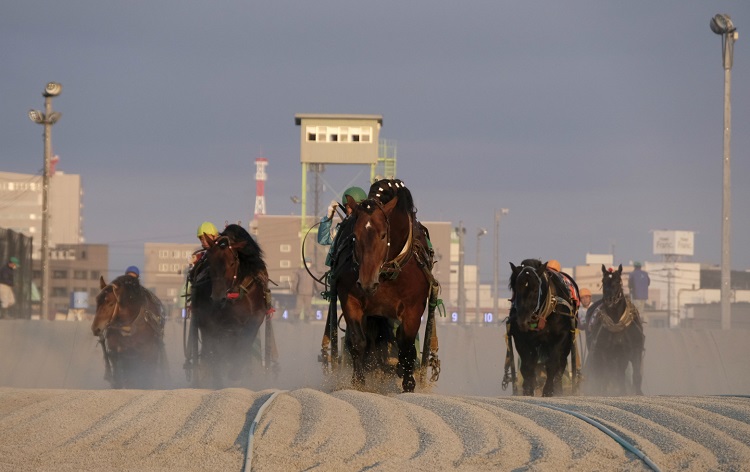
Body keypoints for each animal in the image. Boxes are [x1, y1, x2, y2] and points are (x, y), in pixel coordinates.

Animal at [186, 224, 276, 388]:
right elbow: (215, 351)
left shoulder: (255, 318)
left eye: (232, 263)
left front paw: (236, 372)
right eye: (210, 262)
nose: (218, 297)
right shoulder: (210, 321)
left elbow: (244, 345)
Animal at [334, 184, 440, 394]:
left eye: (383, 235)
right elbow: (358, 341)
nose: (366, 282)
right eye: (354, 235)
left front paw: (408, 384)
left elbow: (406, 345)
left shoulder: (413, 308)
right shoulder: (350, 299)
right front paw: (358, 383)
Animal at [506, 260, 580, 396]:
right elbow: (527, 364)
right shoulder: (521, 338)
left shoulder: (561, 336)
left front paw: (549, 390)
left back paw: (558, 387)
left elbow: (553, 363)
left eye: (536, 290)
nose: (523, 321)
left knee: (562, 362)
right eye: (516, 288)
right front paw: (528, 389)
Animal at [588, 266, 648, 394]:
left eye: (617, 281)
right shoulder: (605, 352)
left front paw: (637, 393)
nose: (609, 300)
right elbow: (606, 375)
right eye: (603, 281)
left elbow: (635, 375)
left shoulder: (634, 350)